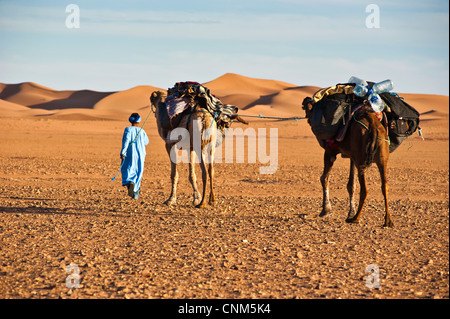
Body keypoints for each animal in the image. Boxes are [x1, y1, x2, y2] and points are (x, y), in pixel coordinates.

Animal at [302, 97, 394, 228]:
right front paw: (351, 212)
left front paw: (326, 210)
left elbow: (324, 178)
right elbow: (351, 185)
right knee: (385, 186)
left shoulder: (330, 151)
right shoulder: (352, 156)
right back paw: (388, 221)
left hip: (361, 158)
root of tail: (373, 124)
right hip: (382, 154)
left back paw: (356, 219)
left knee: (365, 189)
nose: (308, 118)